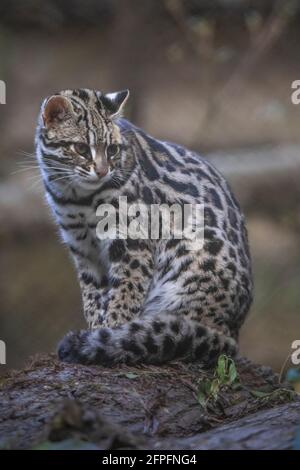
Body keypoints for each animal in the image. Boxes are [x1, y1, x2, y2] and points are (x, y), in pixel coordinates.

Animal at [35, 88, 253, 368]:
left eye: (113, 149)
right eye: (81, 148)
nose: (103, 171)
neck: (77, 196)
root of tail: (233, 334)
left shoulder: (133, 242)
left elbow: (125, 293)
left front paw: (110, 332)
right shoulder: (82, 248)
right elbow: (93, 296)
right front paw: (97, 329)